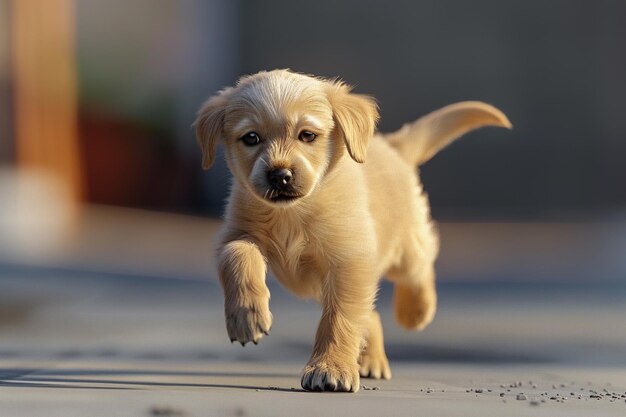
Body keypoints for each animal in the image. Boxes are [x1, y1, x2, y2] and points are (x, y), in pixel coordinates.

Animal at [193, 68, 510, 390]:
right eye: (251, 137)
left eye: (307, 135)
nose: (280, 176)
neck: (293, 214)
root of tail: (393, 147)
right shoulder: (235, 233)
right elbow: (236, 255)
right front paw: (246, 315)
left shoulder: (349, 260)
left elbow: (339, 319)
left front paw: (330, 368)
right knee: (371, 315)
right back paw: (371, 360)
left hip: (402, 248)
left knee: (419, 266)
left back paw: (415, 311)